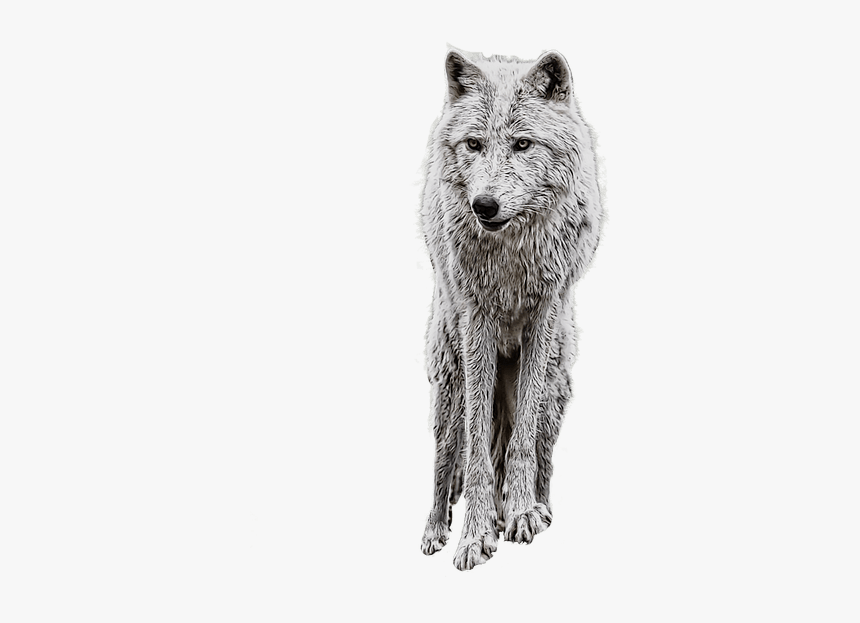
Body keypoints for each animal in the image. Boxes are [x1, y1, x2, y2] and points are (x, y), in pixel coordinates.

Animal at [419, 48, 604, 570]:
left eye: (523, 144)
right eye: (474, 144)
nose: (484, 205)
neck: (511, 254)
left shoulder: (544, 314)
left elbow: (520, 438)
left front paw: (520, 513)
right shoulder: (476, 321)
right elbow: (478, 451)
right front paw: (474, 535)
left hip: (557, 384)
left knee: (539, 450)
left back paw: (536, 509)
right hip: (449, 380)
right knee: (446, 456)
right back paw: (436, 530)